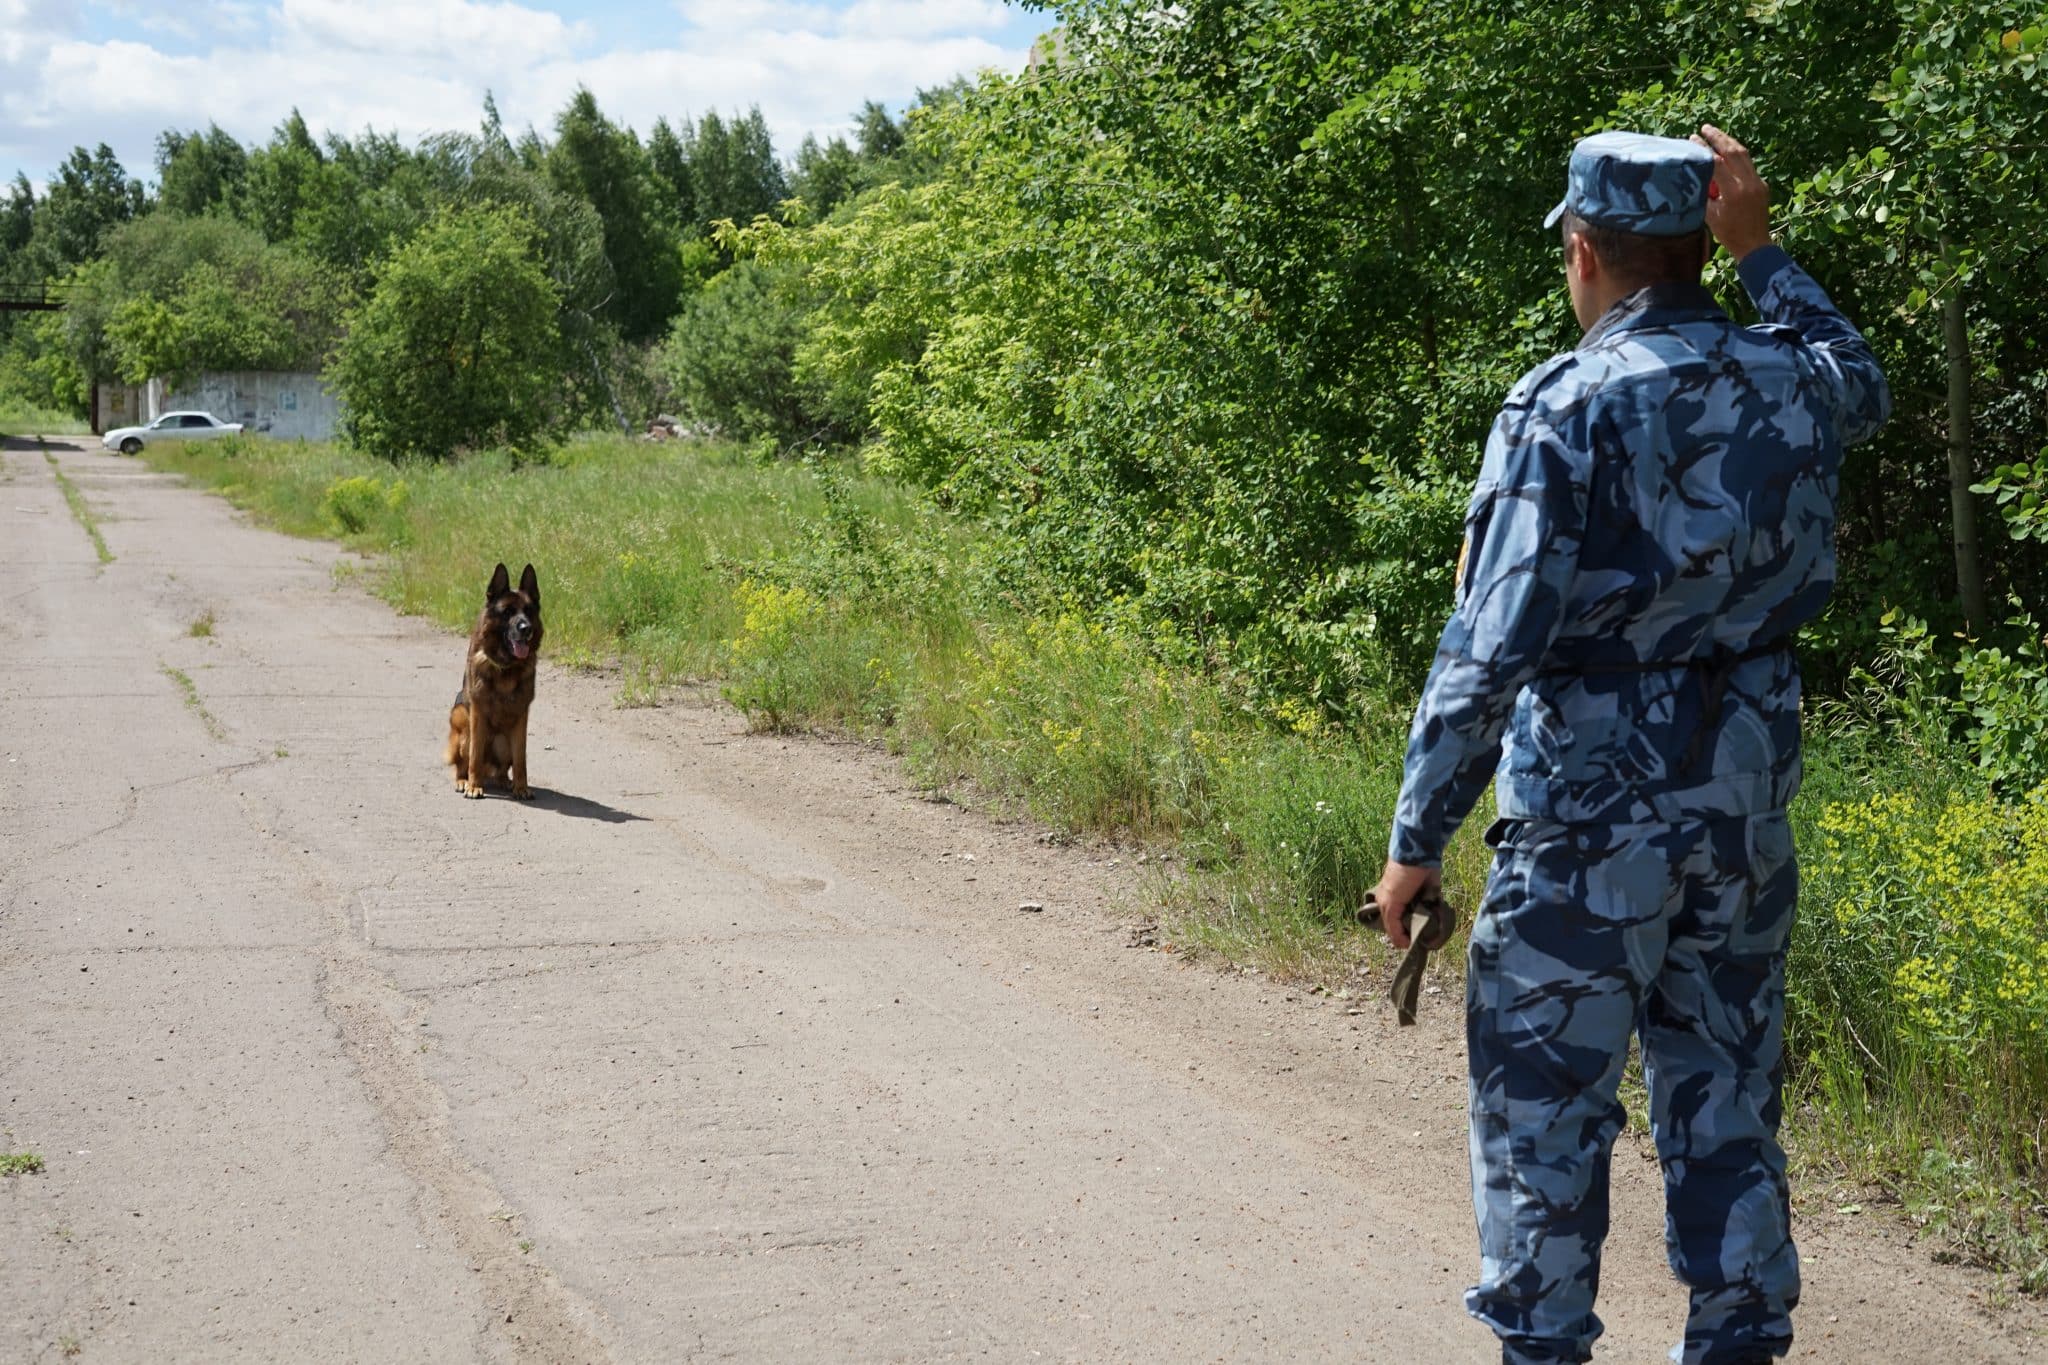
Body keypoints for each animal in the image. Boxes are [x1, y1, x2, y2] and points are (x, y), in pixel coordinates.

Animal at [446, 564, 544, 802]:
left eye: (529, 611)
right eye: (507, 612)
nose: (526, 628)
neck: (507, 666)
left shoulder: (521, 715)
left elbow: (521, 760)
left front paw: (521, 787)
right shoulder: (478, 713)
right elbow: (474, 757)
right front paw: (474, 787)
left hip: (504, 742)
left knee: (503, 769)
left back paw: (506, 782)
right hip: (461, 719)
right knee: (464, 765)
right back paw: (464, 781)